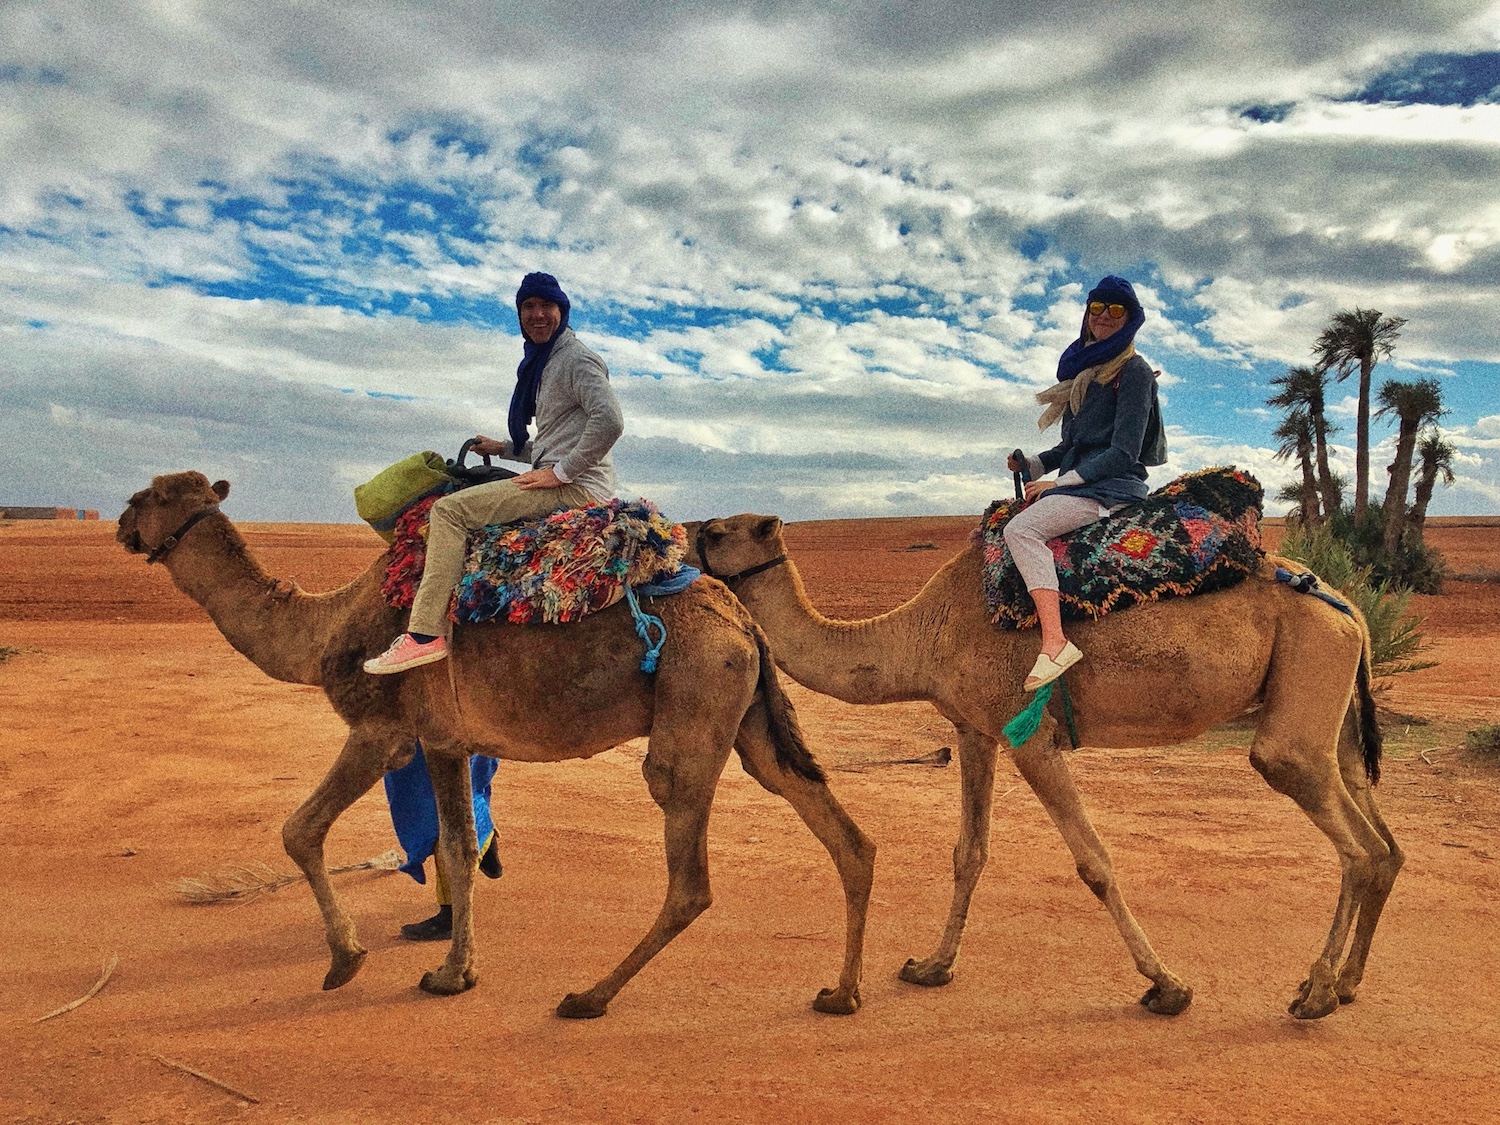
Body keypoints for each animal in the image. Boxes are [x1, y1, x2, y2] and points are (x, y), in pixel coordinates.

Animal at [123, 471, 876, 1020]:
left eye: (152, 496)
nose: (123, 523)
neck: (328, 627)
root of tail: (744, 620)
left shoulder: (388, 731)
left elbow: (306, 829)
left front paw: (355, 962)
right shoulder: (450, 740)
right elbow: (455, 844)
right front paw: (453, 970)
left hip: (695, 699)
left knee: (688, 871)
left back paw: (588, 996)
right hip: (747, 718)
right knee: (838, 829)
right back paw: (841, 992)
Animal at [690, 516, 1404, 1026]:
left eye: (717, 531)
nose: (677, 549)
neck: (923, 634)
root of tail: (1346, 604)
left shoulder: (1030, 735)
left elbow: (1094, 862)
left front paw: (1167, 987)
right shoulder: (973, 728)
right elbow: (969, 851)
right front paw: (931, 967)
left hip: (1305, 680)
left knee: (1352, 840)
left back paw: (1314, 994)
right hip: (1330, 700)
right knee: (1383, 840)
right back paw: (1346, 984)